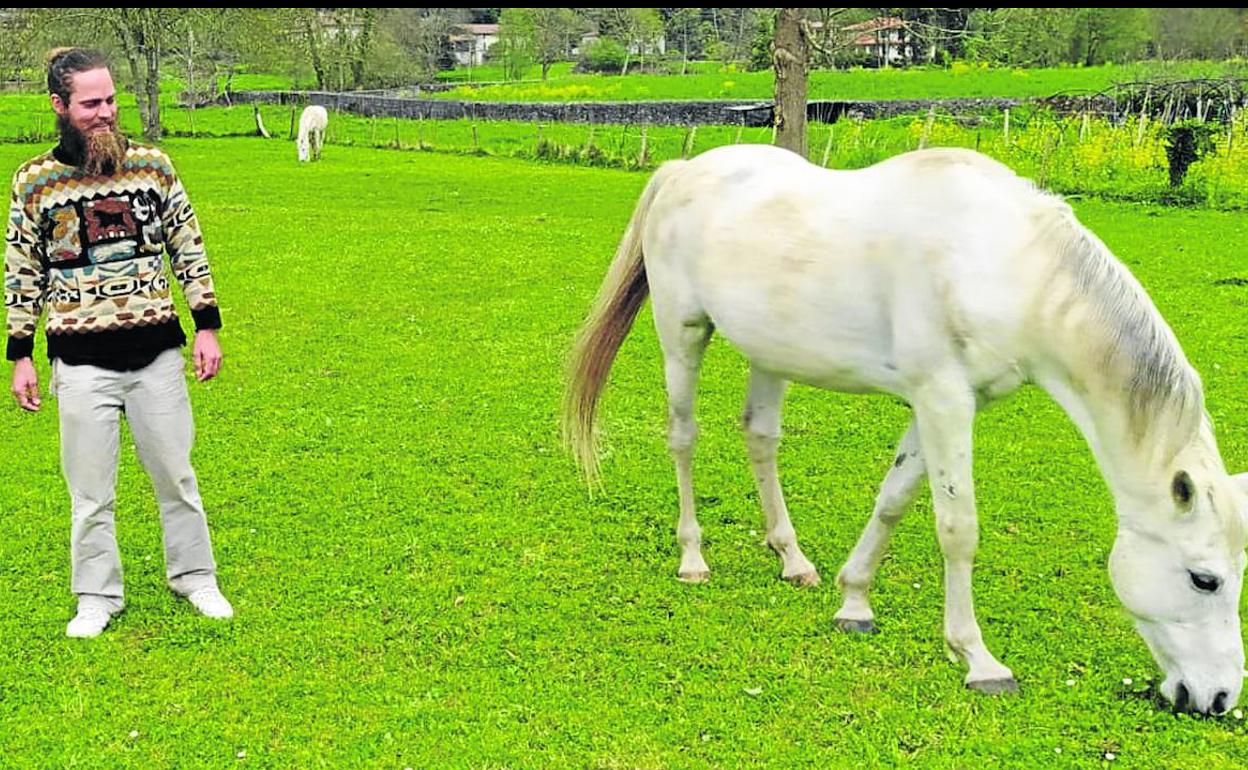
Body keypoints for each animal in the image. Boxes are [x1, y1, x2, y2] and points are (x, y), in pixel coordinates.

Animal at [566, 141, 1248, 713]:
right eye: (1205, 579)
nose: (1217, 698)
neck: (1003, 265)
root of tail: (685, 169)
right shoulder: (943, 399)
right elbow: (957, 528)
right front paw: (978, 659)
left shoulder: (944, 403)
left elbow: (894, 499)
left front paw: (854, 600)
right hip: (682, 333)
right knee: (683, 438)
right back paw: (693, 558)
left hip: (771, 354)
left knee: (760, 437)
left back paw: (792, 558)